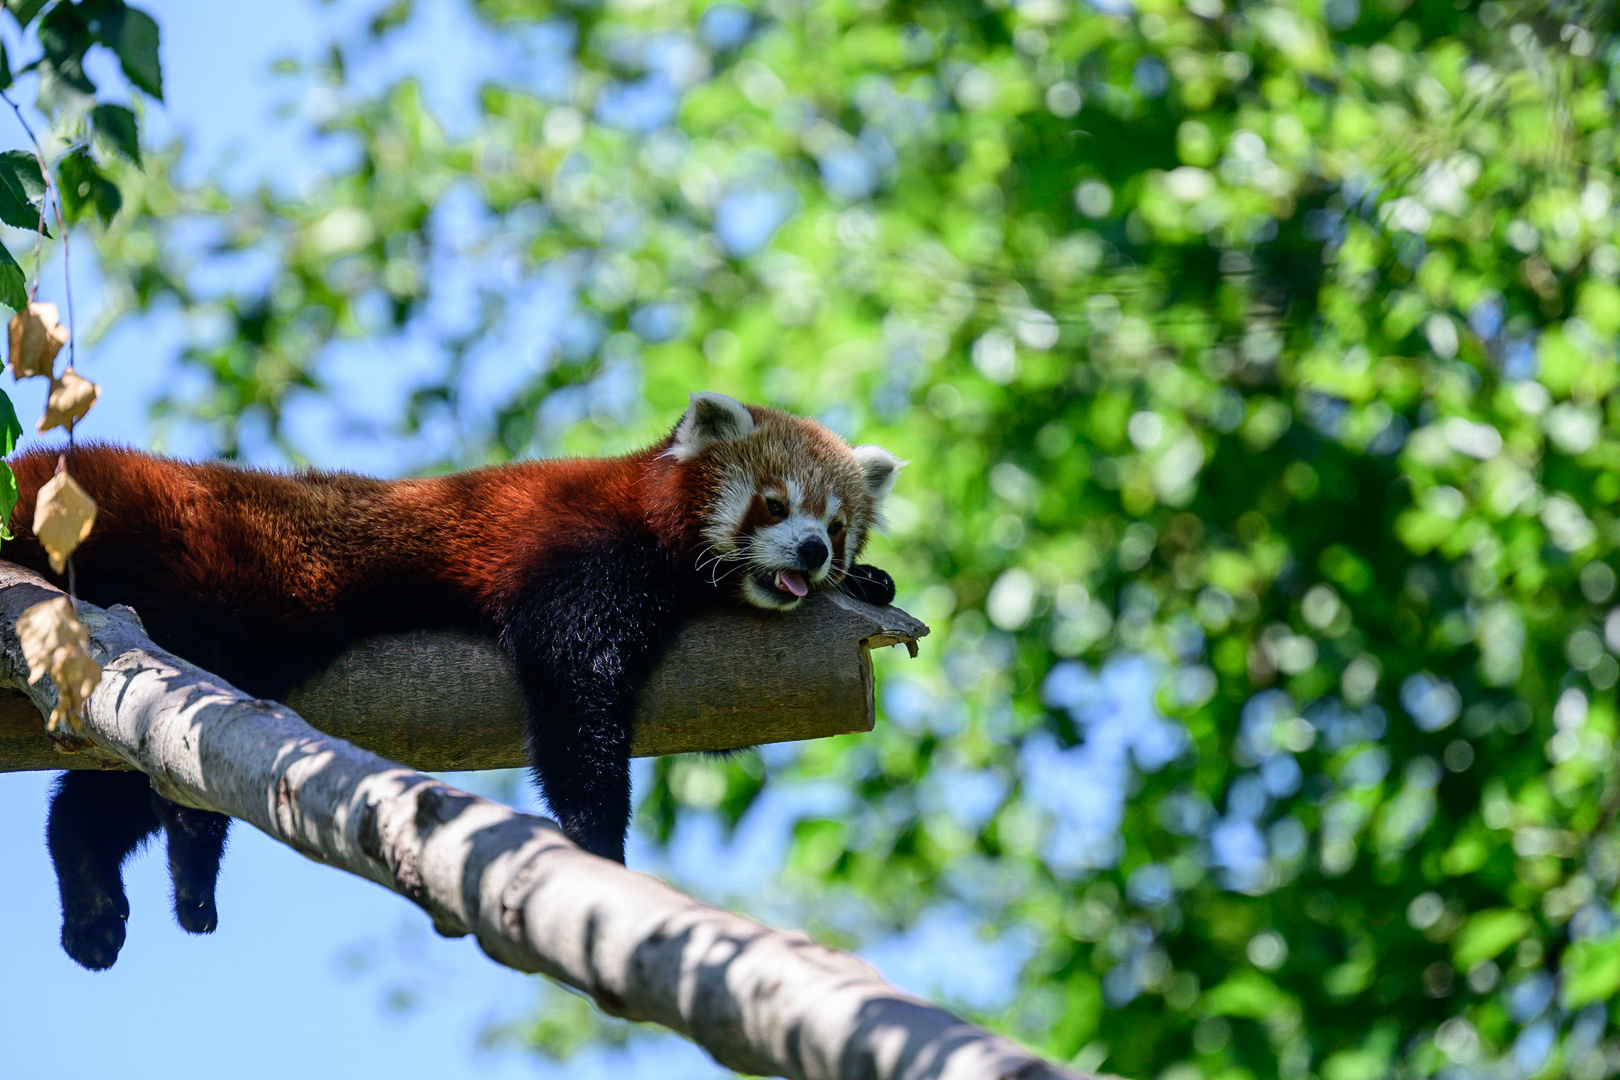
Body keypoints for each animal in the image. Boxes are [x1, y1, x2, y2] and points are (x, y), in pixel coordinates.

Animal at [12, 393, 900, 965]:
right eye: (776, 504)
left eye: (836, 524)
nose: (815, 551)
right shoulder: (582, 555)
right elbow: (572, 687)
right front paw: (596, 842)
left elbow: (718, 723)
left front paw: (870, 580)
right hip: (219, 591)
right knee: (182, 749)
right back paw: (187, 863)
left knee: (118, 780)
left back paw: (95, 894)